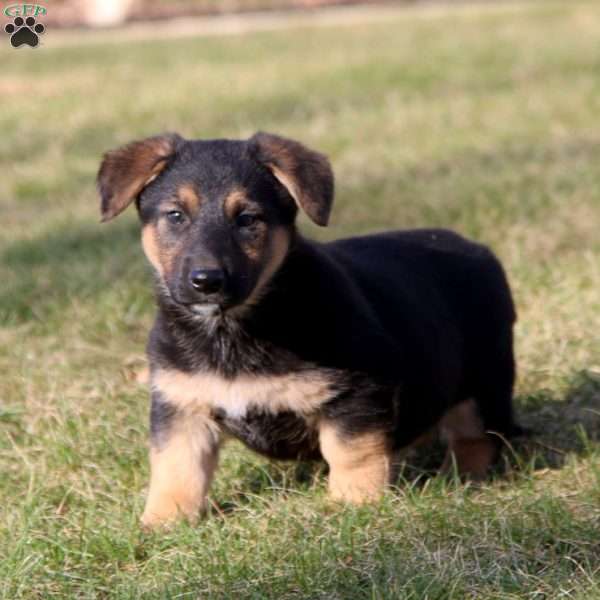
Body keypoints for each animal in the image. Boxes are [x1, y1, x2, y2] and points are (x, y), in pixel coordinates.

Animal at [98, 131, 520, 524]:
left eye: (247, 219)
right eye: (175, 216)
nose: (207, 281)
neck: (231, 332)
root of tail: (478, 248)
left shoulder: (357, 393)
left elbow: (351, 453)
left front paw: (354, 506)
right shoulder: (180, 406)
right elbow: (176, 469)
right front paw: (161, 524)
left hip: (486, 379)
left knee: (479, 436)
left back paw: (459, 477)